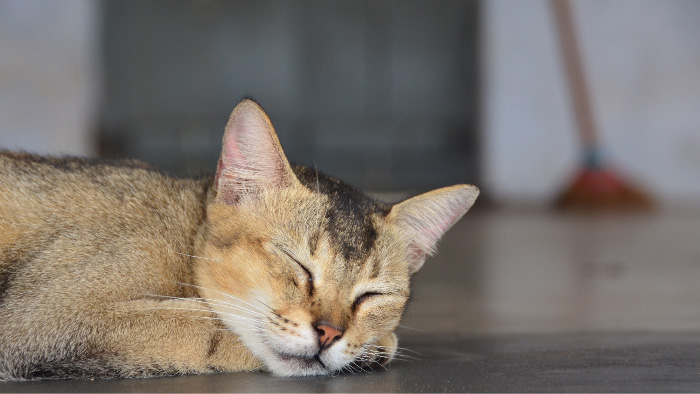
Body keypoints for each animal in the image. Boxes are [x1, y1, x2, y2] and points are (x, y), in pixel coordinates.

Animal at [0, 99, 476, 382]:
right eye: (298, 264)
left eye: (372, 295)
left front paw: (370, 343)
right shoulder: (45, 319)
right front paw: (377, 347)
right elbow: (214, 326)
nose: (329, 333)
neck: (183, 227)